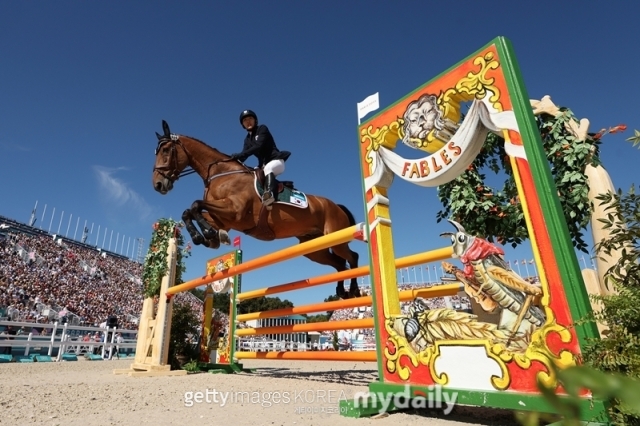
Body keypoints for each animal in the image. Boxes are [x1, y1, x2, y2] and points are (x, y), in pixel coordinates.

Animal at [148, 120, 362, 300]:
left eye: (165, 150)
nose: (158, 185)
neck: (221, 174)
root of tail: (336, 206)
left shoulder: (235, 211)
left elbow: (195, 205)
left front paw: (209, 235)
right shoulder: (223, 219)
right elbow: (189, 212)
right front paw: (208, 237)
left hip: (335, 237)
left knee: (352, 257)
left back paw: (354, 290)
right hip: (315, 248)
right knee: (339, 263)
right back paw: (342, 292)